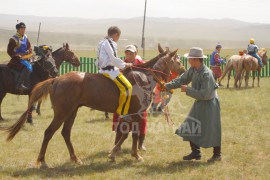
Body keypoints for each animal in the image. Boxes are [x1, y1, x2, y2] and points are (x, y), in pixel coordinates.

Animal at [0, 44, 186, 167]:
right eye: (177, 60)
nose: (184, 69)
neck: (144, 76)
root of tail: (56, 79)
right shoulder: (137, 112)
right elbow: (131, 134)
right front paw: (131, 155)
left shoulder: (130, 113)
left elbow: (127, 134)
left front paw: (118, 153)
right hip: (62, 113)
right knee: (49, 132)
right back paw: (43, 161)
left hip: (72, 112)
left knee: (65, 133)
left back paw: (75, 158)